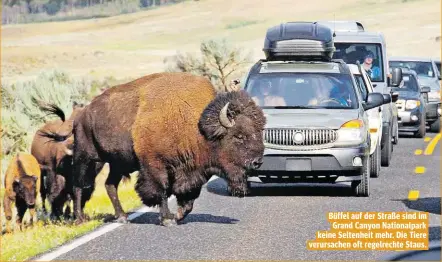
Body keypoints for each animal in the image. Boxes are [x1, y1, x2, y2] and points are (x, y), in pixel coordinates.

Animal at [39, 72, 266, 226]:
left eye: (259, 131)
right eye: (239, 136)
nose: (257, 161)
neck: (196, 126)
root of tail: (81, 114)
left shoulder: (191, 171)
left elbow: (189, 198)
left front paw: (178, 216)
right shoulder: (154, 165)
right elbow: (162, 190)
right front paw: (167, 219)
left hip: (117, 163)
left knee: (110, 185)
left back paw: (122, 217)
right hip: (87, 158)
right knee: (79, 186)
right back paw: (79, 219)